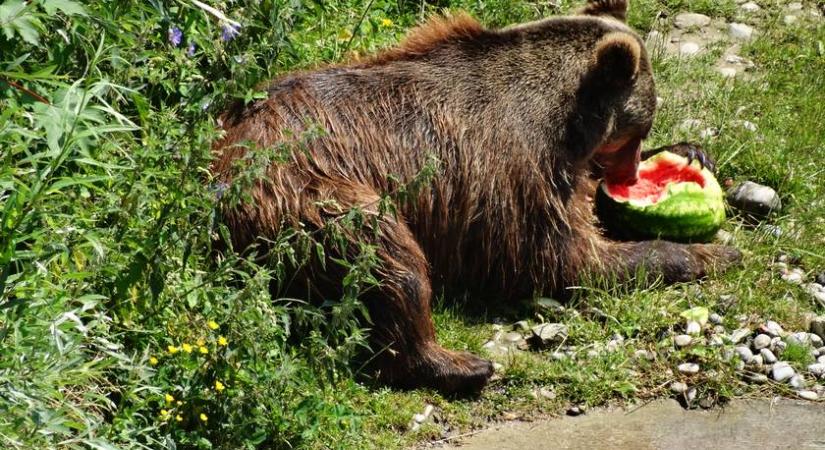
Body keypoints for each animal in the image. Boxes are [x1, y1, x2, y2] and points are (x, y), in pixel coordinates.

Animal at [209, 0, 736, 394]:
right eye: (637, 129)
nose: (628, 172)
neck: (563, 119)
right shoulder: (516, 173)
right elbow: (562, 259)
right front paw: (707, 253)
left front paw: (691, 152)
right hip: (311, 194)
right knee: (386, 261)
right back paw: (460, 364)